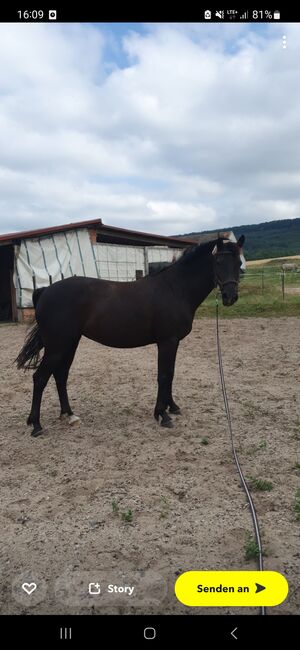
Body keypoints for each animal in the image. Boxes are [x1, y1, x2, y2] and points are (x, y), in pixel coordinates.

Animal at [16, 233, 245, 436]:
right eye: (218, 262)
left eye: (238, 263)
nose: (230, 297)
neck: (175, 289)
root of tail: (45, 291)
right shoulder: (167, 342)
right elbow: (164, 375)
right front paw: (162, 415)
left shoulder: (174, 343)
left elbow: (171, 374)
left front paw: (172, 407)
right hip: (58, 346)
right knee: (40, 378)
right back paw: (36, 425)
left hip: (69, 343)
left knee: (60, 375)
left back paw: (69, 415)